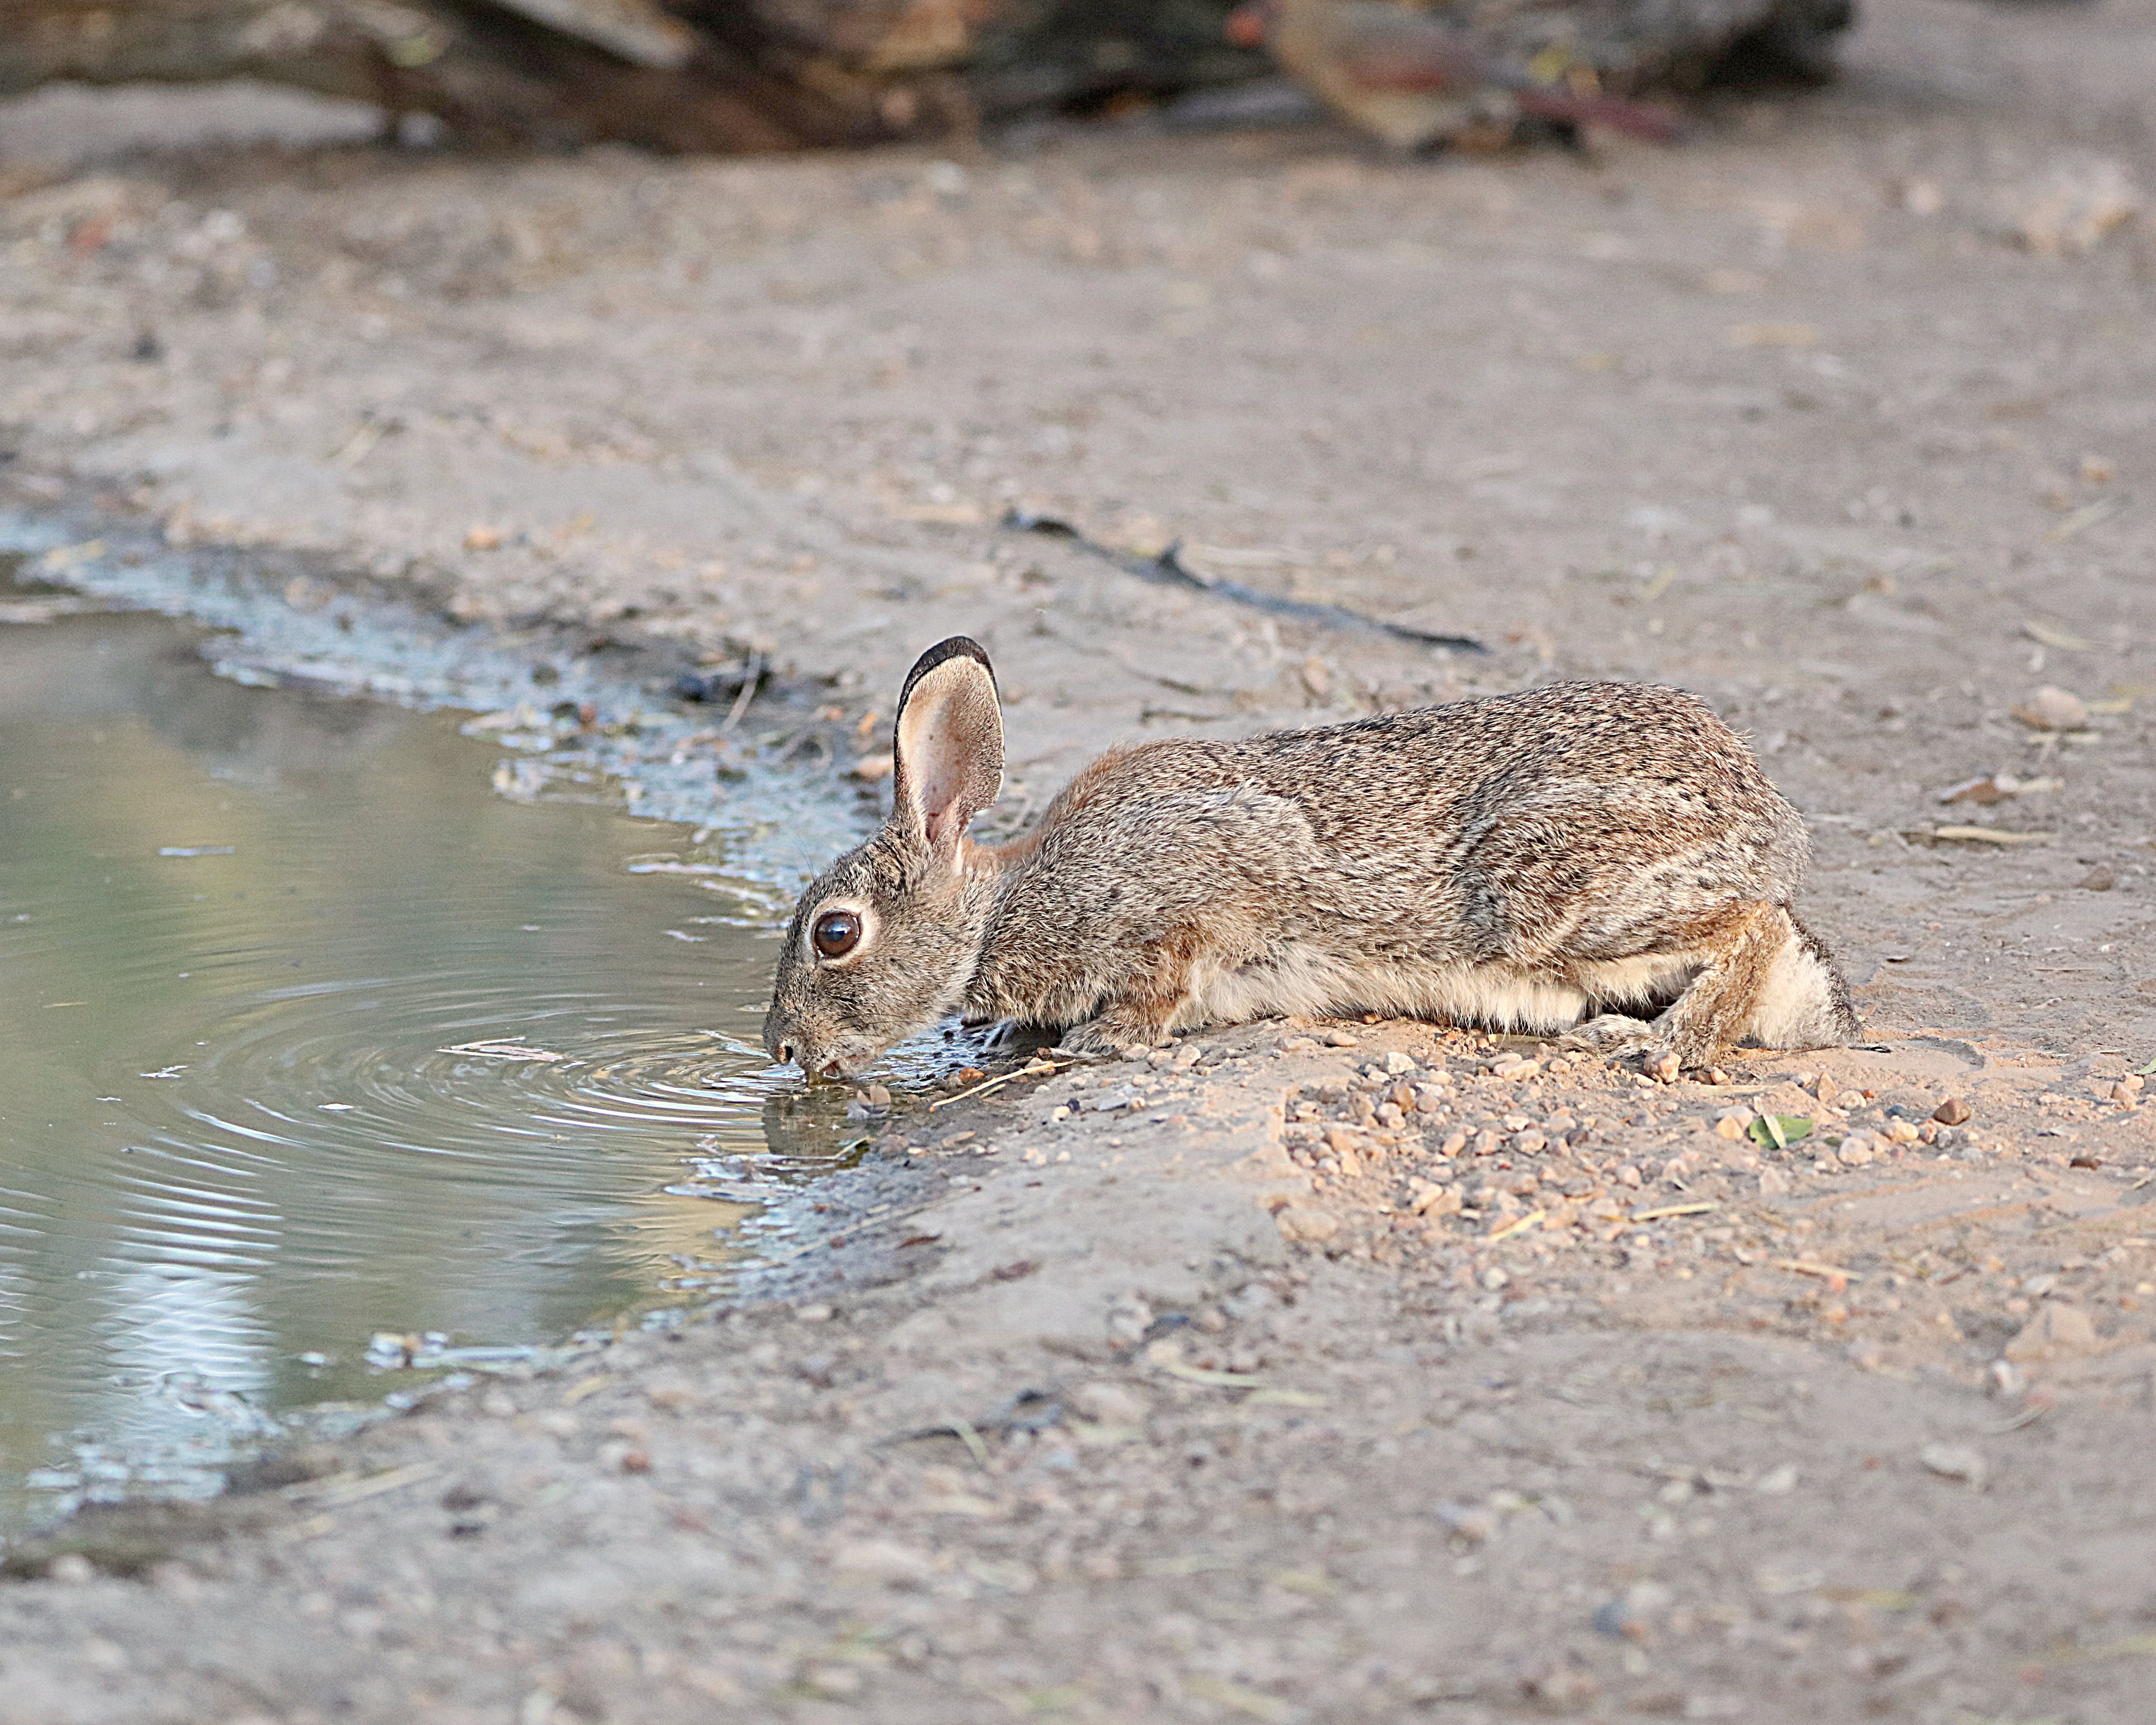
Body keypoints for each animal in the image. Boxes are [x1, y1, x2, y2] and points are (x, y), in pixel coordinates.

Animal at [763, 635, 1857, 1080]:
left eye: (835, 933)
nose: (779, 1049)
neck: (1002, 907)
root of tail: (1760, 807)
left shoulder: (1187, 892)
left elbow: (1168, 972)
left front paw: (1103, 1041)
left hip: (1555, 892)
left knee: (1752, 926)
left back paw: (1665, 1044)